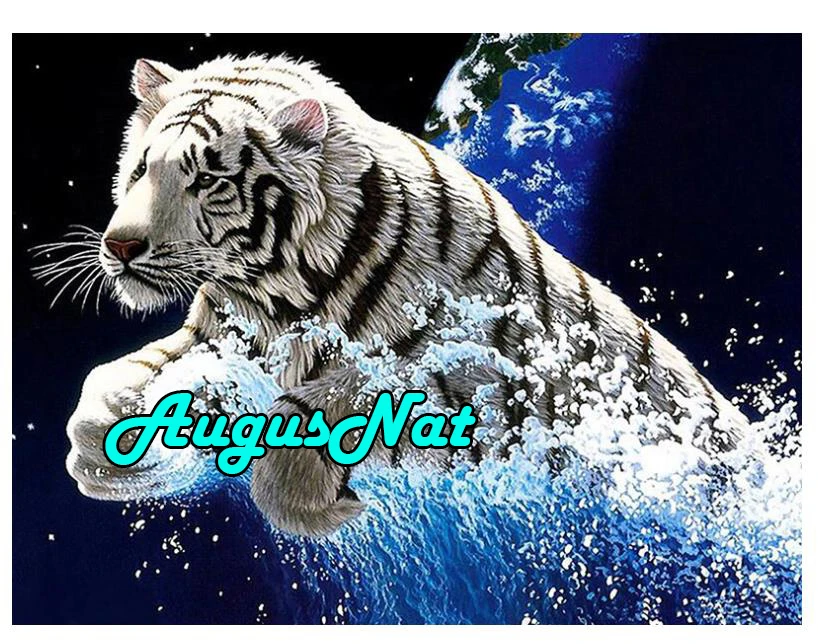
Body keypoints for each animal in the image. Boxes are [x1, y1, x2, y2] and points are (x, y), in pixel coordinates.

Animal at [63, 55, 749, 537]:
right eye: (142, 168)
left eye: (206, 179)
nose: (120, 246)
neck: (276, 291)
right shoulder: (222, 335)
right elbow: (122, 378)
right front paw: (105, 443)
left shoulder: (478, 380)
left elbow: (335, 404)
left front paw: (324, 505)